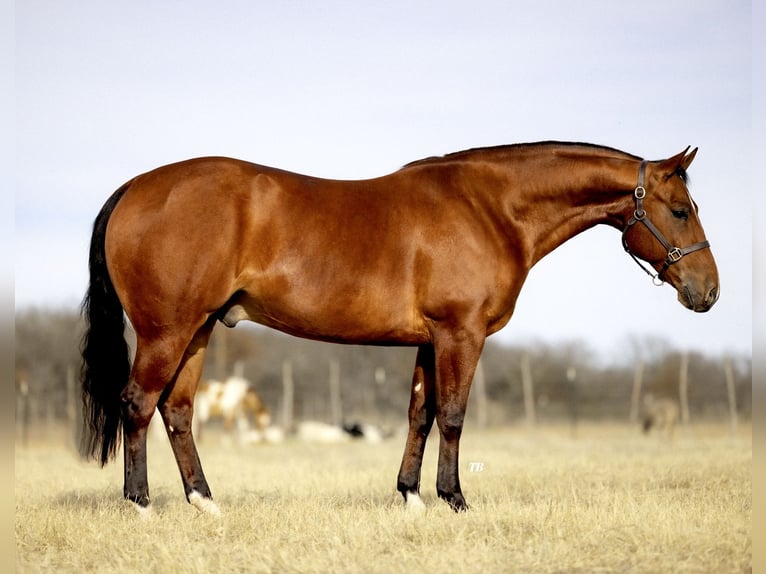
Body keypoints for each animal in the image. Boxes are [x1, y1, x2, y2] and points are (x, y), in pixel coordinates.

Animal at [81, 141, 724, 516]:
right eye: (679, 210)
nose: (709, 292)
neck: (489, 207)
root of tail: (136, 187)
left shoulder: (429, 339)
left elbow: (420, 413)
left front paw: (412, 497)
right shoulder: (461, 334)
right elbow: (454, 415)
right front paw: (455, 500)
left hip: (198, 331)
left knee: (177, 410)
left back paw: (206, 504)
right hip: (168, 331)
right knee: (138, 402)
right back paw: (141, 504)